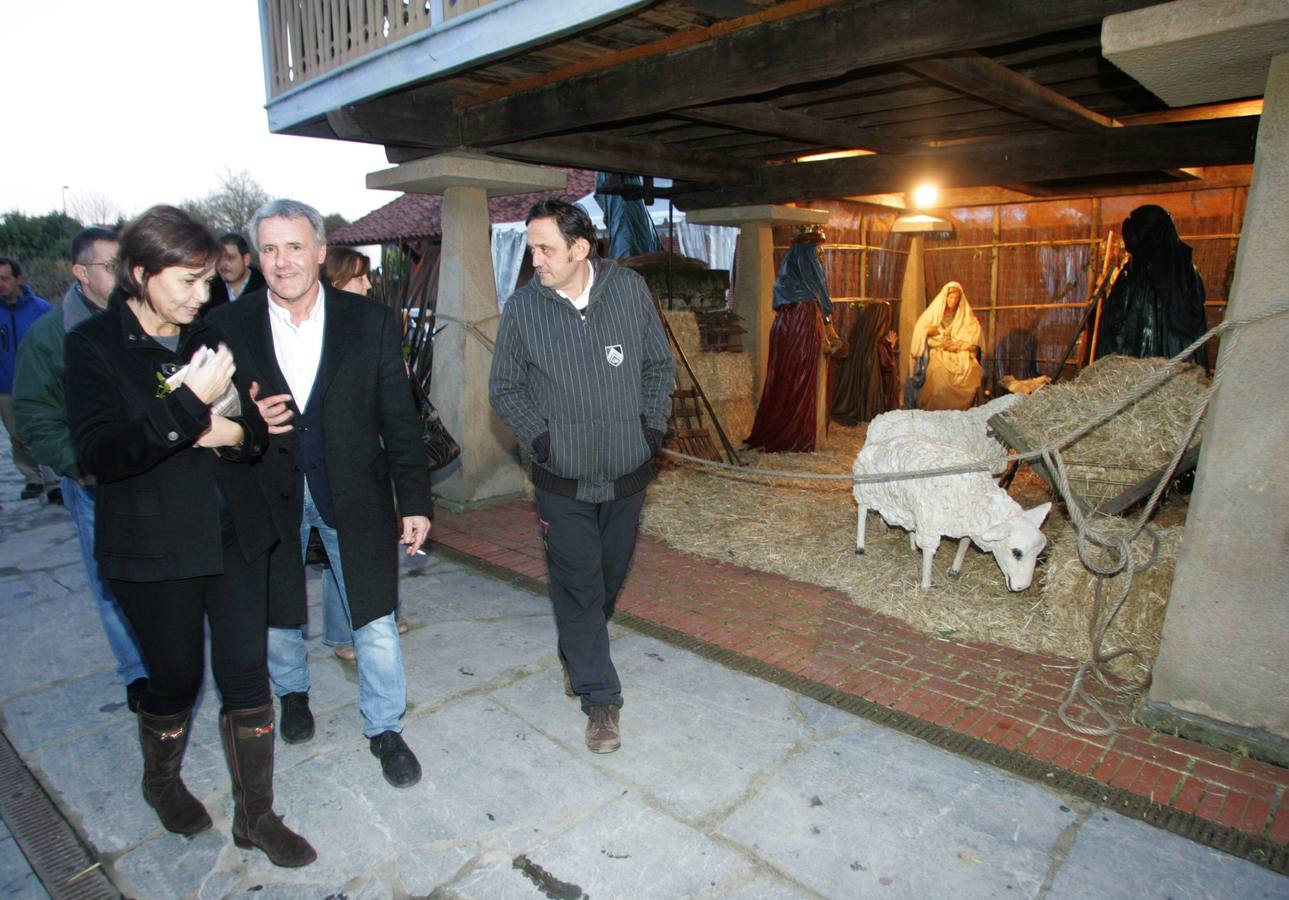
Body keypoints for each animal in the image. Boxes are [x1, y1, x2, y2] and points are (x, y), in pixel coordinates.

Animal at [855, 435, 1046, 587]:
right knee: (862, 510)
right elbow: (929, 553)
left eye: (1039, 553)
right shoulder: (930, 522)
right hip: (865, 490)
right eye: (1016, 552)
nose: (1022, 587)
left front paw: (954, 569)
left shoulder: (964, 522)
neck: (977, 494)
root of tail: (874, 445)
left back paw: (910, 544)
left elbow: (965, 542)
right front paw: (926, 584)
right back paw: (860, 546)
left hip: (898, 502)